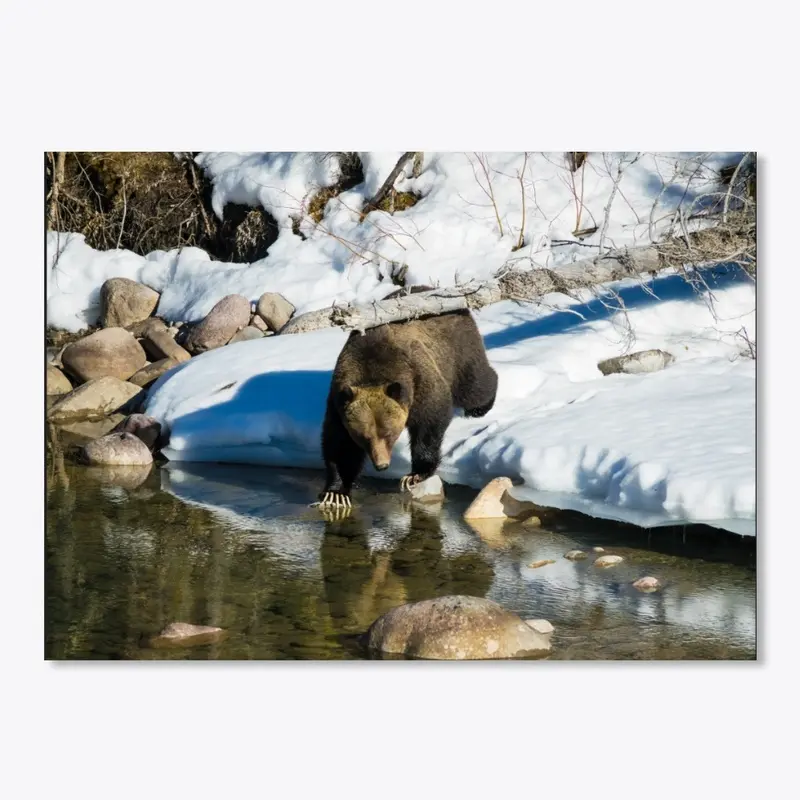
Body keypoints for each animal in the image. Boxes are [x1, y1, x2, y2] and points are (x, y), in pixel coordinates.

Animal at [318, 286, 494, 506]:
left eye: (388, 433)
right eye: (364, 437)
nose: (382, 465)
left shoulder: (419, 381)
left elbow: (430, 422)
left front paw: (414, 475)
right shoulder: (338, 402)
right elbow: (339, 445)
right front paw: (335, 492)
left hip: (457, 350)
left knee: (474, 386)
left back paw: (481, 406)